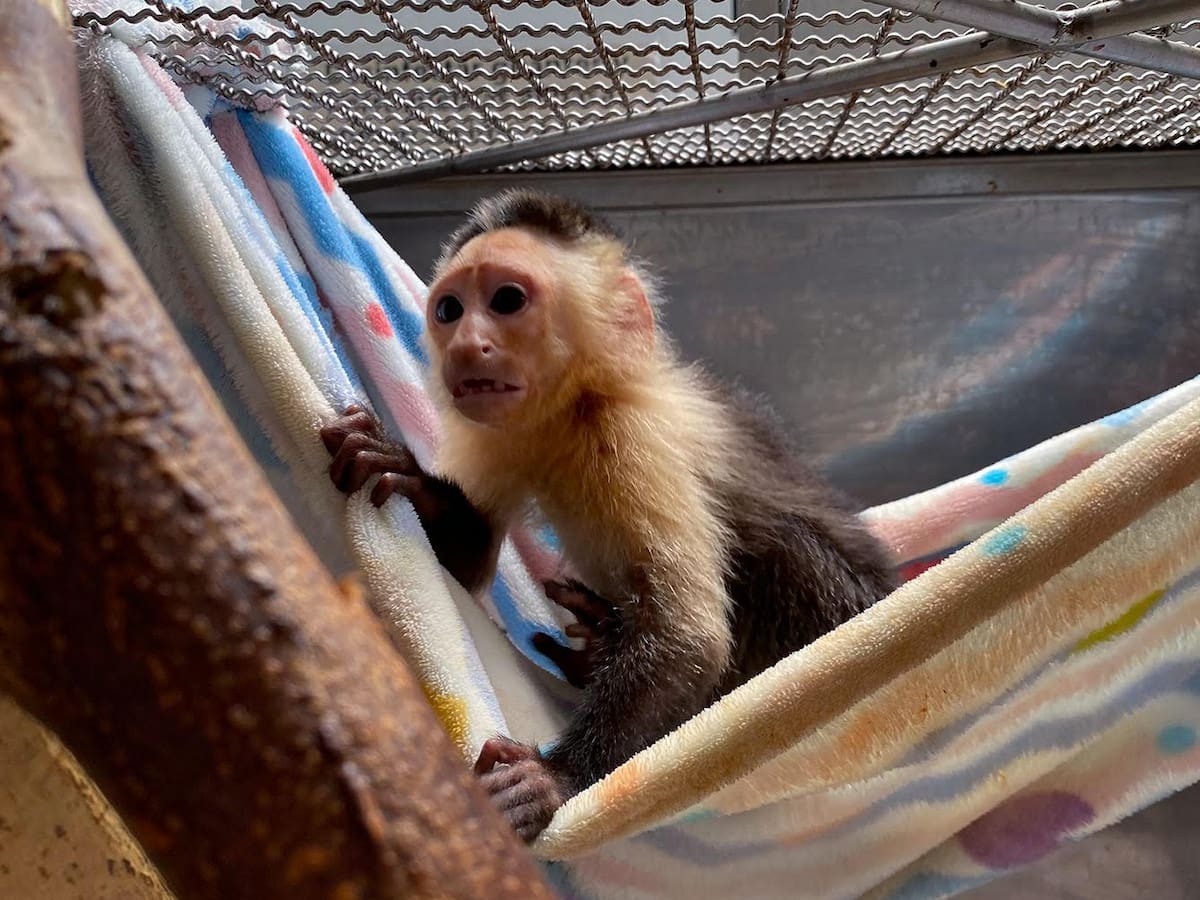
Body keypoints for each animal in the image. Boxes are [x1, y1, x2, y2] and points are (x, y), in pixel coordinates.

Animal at [319, 189, 898, 843]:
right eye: (448, 309)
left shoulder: (632, 435)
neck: (572, 410)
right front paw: (414, 484)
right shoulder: (491, 424)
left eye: (506, 300)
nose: (466, 345)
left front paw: (557, 780)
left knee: (782, 550)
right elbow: (469, 566)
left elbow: (687, 637)